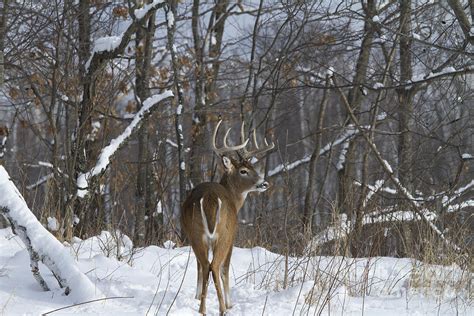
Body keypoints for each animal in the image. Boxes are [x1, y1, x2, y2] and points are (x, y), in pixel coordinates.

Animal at [183, 119, 276, 314]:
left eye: (253, 167)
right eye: (243, 171)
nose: (264, 183)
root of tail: (209, 197)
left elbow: (199, 268)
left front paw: (197, 297)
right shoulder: (233, 236)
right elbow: (225, 269)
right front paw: (230, 304)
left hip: (195, 234)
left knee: (204, 265)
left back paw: (202, 309)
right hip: (224, 234)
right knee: (215, 265)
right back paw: (222, 308)